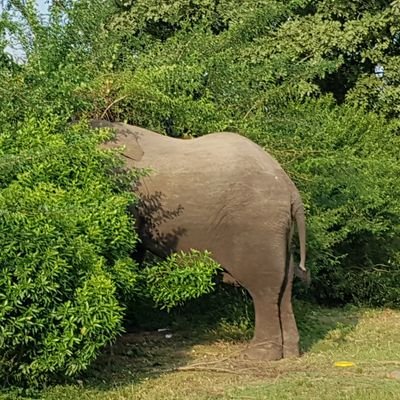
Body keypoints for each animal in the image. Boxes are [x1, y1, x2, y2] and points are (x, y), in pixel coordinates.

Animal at [90, 120, 308, 360]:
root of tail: (291, 190)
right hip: (276, 229)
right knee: (285, 284)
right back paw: (290, 353)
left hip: (258, 225)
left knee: (263, 286)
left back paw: (258, 355)